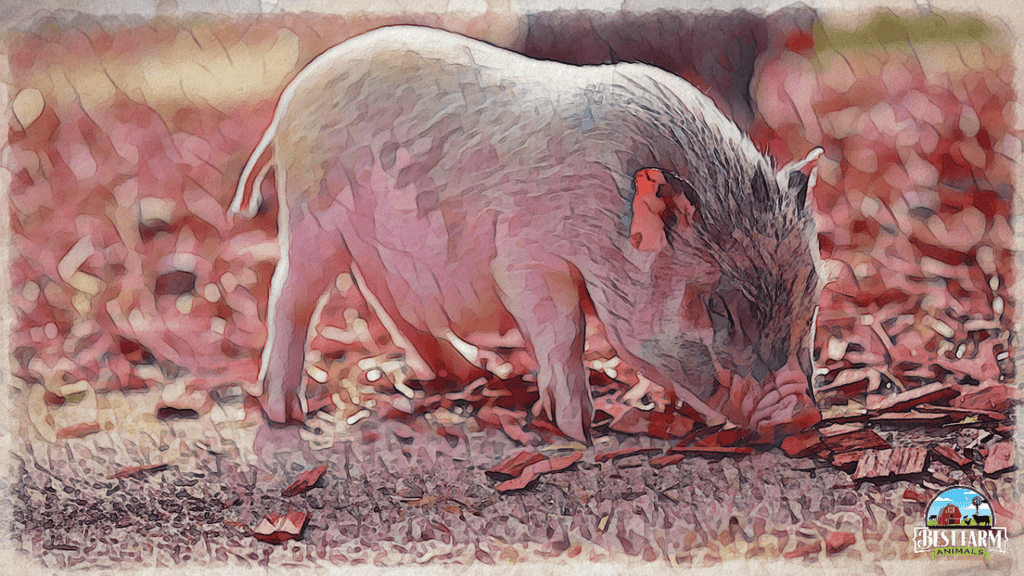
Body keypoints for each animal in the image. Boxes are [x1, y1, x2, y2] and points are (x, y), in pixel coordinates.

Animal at [231, 25, 824, 444]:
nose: (801, 414)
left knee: (389, 303)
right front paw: (583, 431)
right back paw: (287, 415)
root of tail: (287, 103)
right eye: (718, 307)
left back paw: (473, 375)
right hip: (312, 217)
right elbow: (564, 332)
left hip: (375, 247)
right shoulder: (528, 259)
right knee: (290, 294)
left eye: (811, 298)